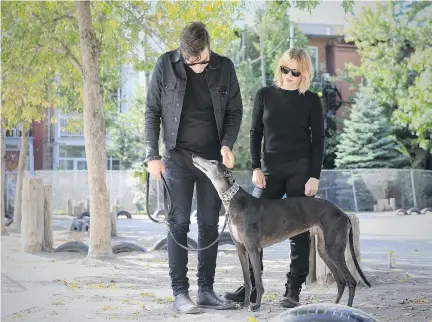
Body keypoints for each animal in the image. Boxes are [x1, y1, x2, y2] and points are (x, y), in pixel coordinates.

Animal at [192, 155, 372, 312]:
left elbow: (258, 280)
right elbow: (247, 279)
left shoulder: (253, 248)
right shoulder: (241, 248)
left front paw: (256, 306)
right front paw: (245, 303)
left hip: (334, 249)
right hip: (324, 250)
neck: (235, 201)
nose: (194, 156)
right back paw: (335, 306)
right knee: (341, 281)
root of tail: (344, 214)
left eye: (213, 162)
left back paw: (348, 308)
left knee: (351, 281)